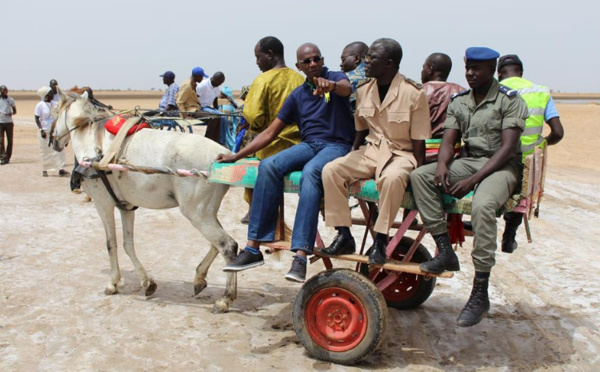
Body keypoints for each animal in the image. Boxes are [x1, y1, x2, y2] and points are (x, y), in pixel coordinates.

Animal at [52, 91, 239, 312]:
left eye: (55, 110)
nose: (52, 139)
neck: (94, 142)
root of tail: (226, 154)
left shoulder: (102, 203)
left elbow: (111, 243)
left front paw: (113, 283)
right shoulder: (126, 207)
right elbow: (128, 244)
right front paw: (147, 283)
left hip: (196, 213)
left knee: (228, 245)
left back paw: (226, 298)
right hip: (206, 212)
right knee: (217, 244)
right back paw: (199, 278)